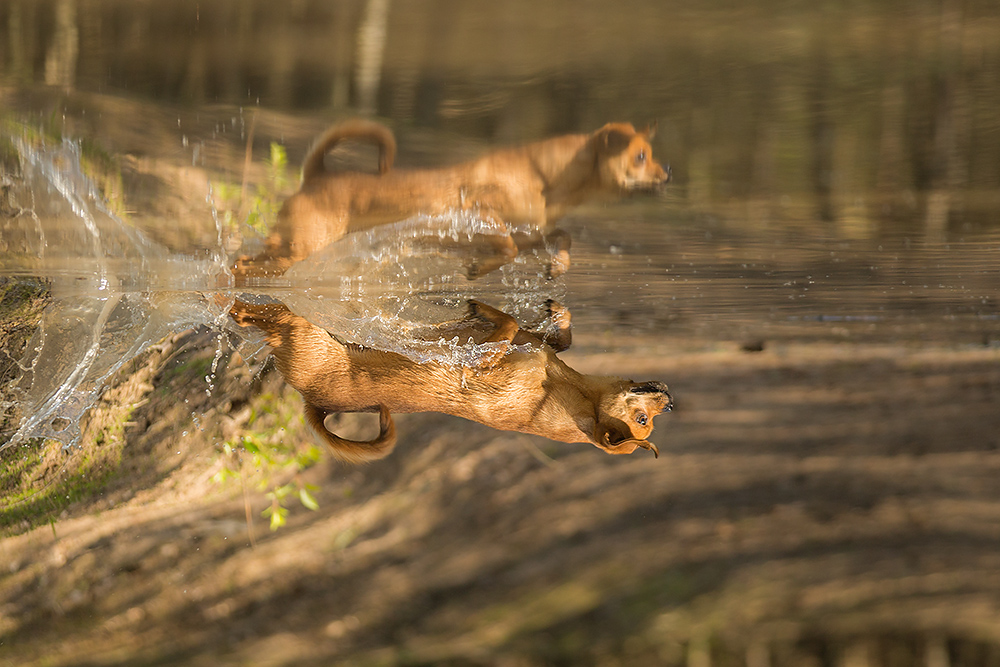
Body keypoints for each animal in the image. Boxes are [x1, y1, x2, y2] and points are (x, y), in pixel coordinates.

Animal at [230, 298, 676, 462]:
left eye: (642, 422)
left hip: (307, 337)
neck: (566, 391)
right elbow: (555, 335)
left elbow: (505, 326)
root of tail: (315, 403)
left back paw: (239, 304)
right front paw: (557, 313)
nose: (671, 400)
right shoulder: (538, 345)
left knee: (274, 318)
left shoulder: (480, 366)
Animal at [238, 119, 668, 276]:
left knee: (250, 258)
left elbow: (562, 236)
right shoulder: (480, 215)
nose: (668, 174)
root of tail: (317, 175)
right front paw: (480, 268)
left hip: (293, 245)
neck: (546, 177)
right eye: (640, 157)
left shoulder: (530, 231)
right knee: (258, 262)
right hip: (303, 246)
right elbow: (508, 247)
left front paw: (558, 266)